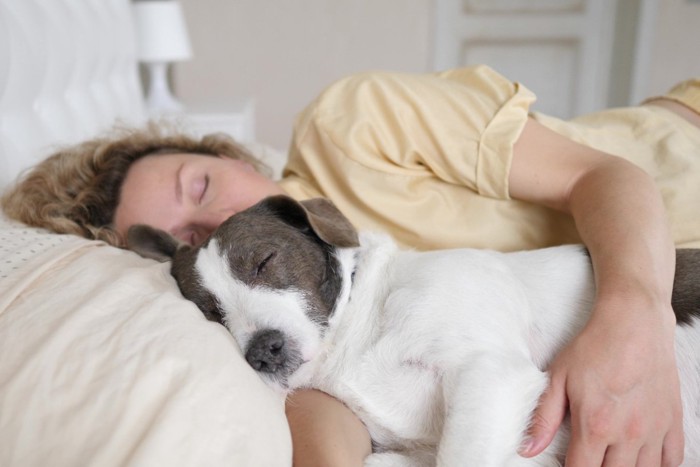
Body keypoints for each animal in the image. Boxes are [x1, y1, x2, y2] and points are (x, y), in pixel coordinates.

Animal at [127, 196, 700, 466]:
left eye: (265, 260)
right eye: (210, 312)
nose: (263, 351)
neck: (356, 336)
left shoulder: (493, 373)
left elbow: (462, 455)